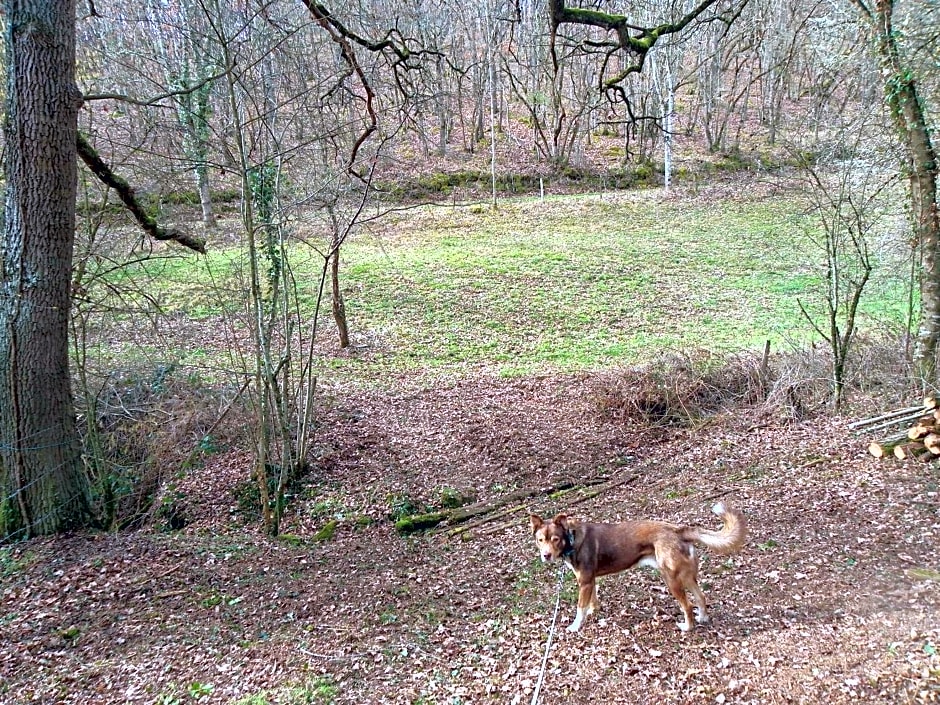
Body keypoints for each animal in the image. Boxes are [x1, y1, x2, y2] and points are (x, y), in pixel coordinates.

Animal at [532, 500, 744, 632]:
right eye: (540, 540)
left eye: (555, 539)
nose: (546, 556)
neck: (572, 538)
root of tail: (678, 530)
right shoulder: (589, 581)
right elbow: (592, 601)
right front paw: (593, 611)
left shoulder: (584, 582)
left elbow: (580, 607)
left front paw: (575, 626)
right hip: (686, 576)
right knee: (701, 597)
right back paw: (703, 618)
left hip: (671, 580)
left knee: (688, 605)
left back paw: (687, 627)